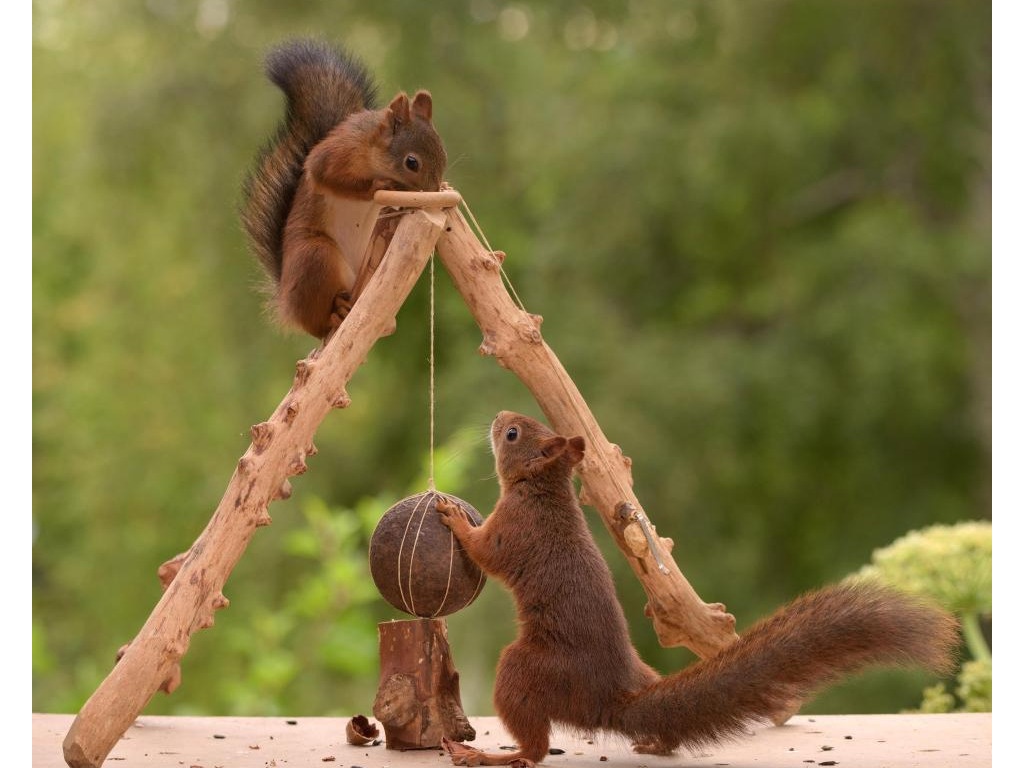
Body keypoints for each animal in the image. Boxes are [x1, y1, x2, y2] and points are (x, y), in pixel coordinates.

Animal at [241, 39, 448, 339]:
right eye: (412, 162)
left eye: (444, 154)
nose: (433, 191)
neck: (370, 148)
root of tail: (286, 299)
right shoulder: (332, 157)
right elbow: (331, 179)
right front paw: (378, 187)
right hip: (315, 256)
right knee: (316, 324)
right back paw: (334, 313)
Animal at [435, 411, 960, 767]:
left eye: (513, 434)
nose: (499, 416)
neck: (541, 490)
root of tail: (610, 700)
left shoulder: (513, 532)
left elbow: (484, 551)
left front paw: (453, 517)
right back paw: (654, 742)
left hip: (524, 668)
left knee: (537, 748)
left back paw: (491, 755)